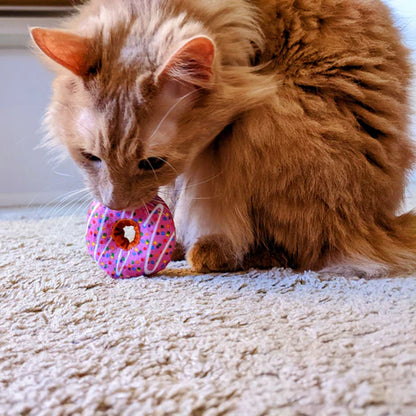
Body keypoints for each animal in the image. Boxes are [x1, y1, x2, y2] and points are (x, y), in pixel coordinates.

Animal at [32, 0, 416, 280]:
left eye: (152, 162)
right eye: (90, 157)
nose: (115, 206)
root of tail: (376, 223)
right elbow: (171, 195)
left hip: (265, 123)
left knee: (296, 250)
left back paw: (213, 254)